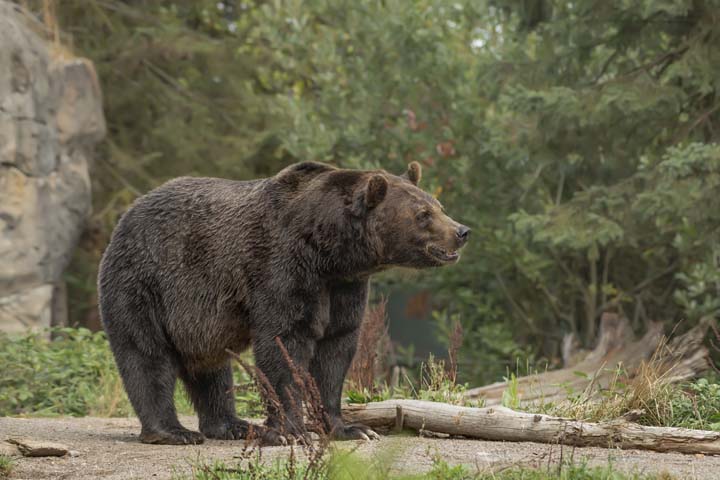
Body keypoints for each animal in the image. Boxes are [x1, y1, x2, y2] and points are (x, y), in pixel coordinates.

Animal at [97, 162, 466, 446]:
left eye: (439, 205)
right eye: (423, 214)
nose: (462, 231)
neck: (329, 252)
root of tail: (126, 216)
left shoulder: (344, 288)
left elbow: (336, 351)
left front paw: (351, 428)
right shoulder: (282, 269)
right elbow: (284, 346)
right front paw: (291, 431)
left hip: (198, 319)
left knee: (211, 368)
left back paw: (232, 425)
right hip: (145, 283)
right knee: (147, 355)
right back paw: (172, 432)